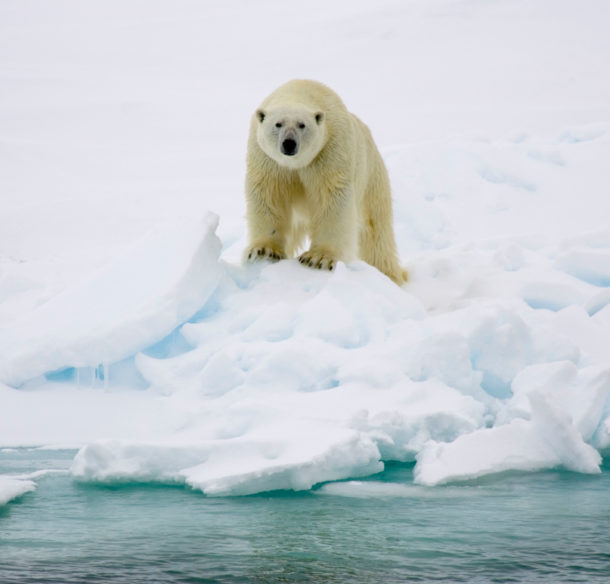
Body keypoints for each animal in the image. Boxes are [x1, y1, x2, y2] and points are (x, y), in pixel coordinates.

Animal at [242, 79, 404, 286]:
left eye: (302, 125)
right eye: (278, 124)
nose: (289, 143)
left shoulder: (330, 151)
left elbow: (332, 199)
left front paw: (318, 259)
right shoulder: (267, 160)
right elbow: (269, 195)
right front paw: (264, 251)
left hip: (372, 177)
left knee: (376, 233)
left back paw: (389, 275)